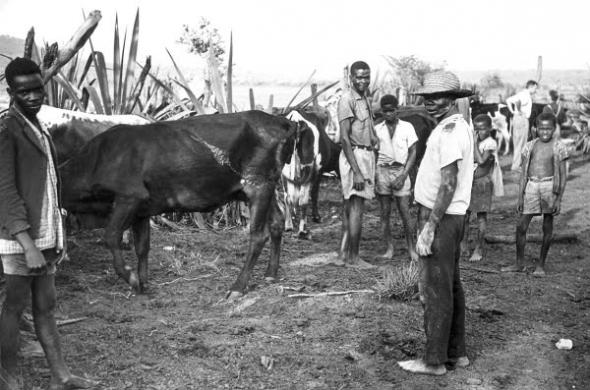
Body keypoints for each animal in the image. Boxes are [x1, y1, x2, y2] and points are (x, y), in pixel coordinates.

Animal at [59, 111, 316, 298]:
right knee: (277, 222)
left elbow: (111, 236)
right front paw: (142, 285)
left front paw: (131, 278)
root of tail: (283, 121)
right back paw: (270, 274)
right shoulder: (142, 208)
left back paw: (237, 287)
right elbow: (142, 246)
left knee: (258, 235)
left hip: (257, 184)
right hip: (263, 187)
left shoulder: (129, 197)